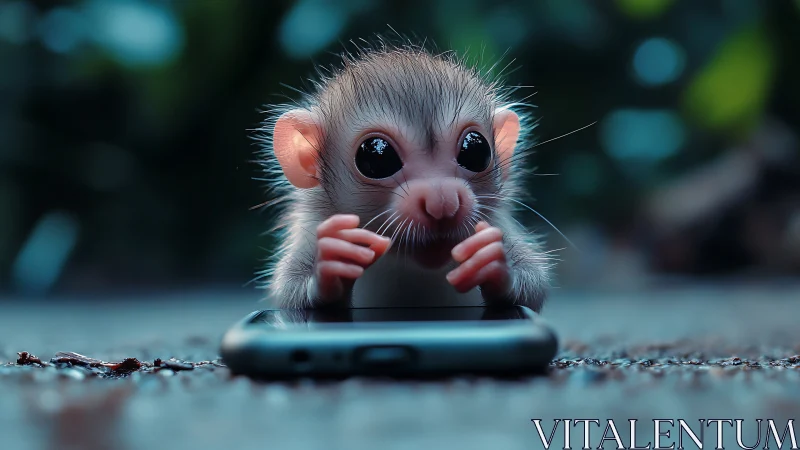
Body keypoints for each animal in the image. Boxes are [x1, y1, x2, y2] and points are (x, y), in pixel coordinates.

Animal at [253, 38, 554, 311]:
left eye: (476, 149)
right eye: (377, 156)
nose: (442, 200)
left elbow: (534, 289)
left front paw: (496, 262)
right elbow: (290, 296)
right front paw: (327, 265)